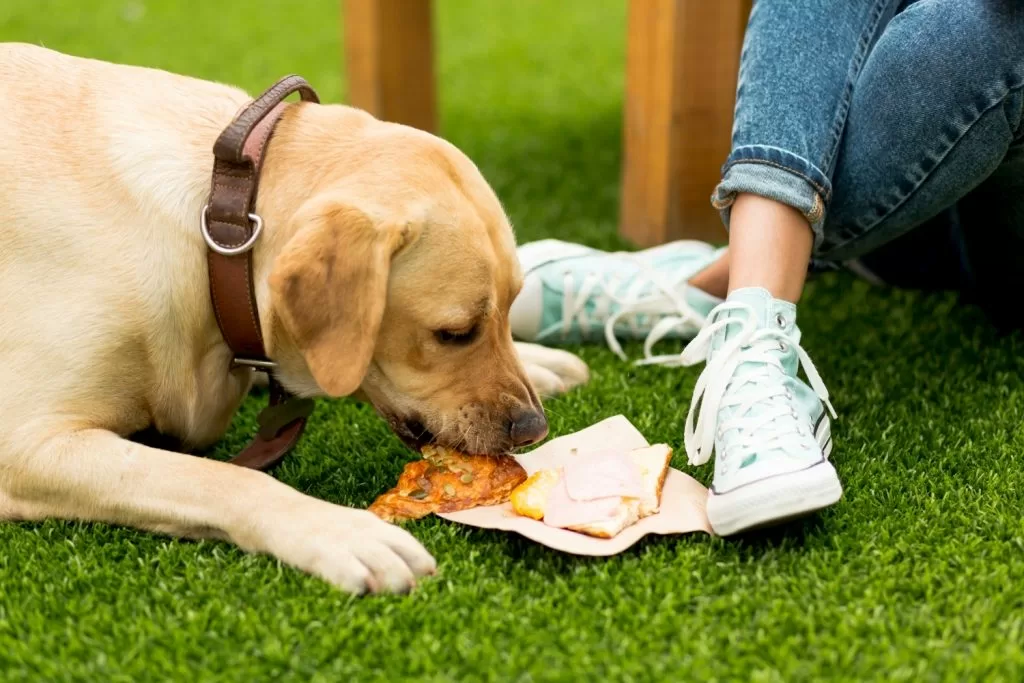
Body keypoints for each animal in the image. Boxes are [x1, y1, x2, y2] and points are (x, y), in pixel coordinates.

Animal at [0, 45, 589, 593]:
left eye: (510, 309)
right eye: (453, 334)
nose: (533, 429)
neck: (219, 228)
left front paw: (537, 360)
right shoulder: (26, 445)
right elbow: (218, 478)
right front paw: (341, 530)